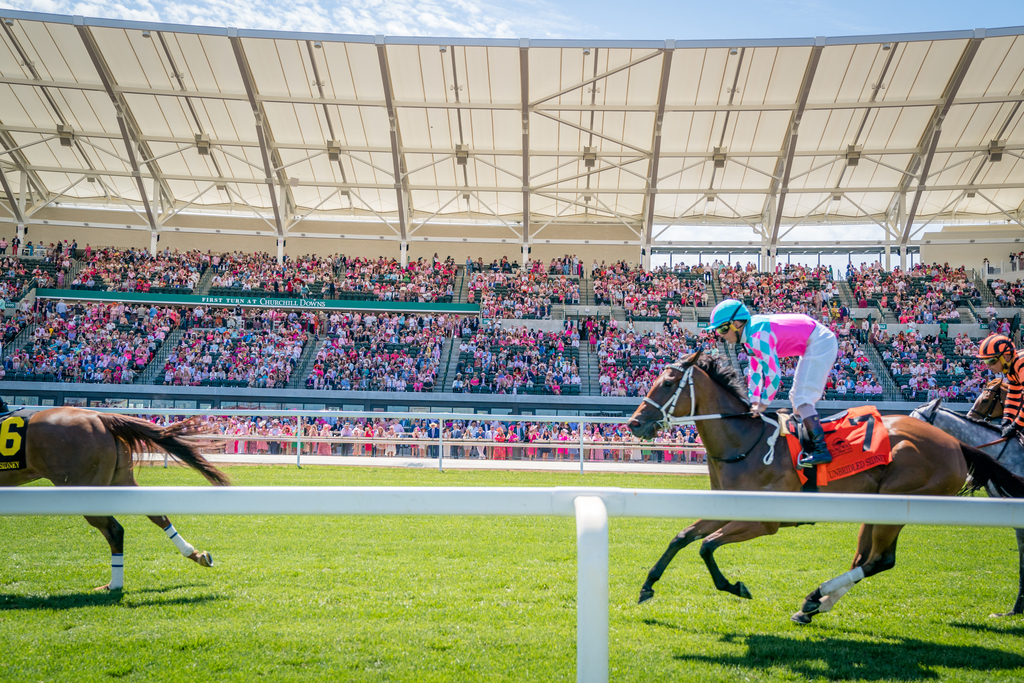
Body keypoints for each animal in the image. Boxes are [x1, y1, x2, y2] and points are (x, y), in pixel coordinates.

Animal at [1, 409, 230, 589]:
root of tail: (100, 417)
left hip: (84, 488)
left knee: (114, 529)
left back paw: (114, 585)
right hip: (121, 479)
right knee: (156, 514)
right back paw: (194, 553)